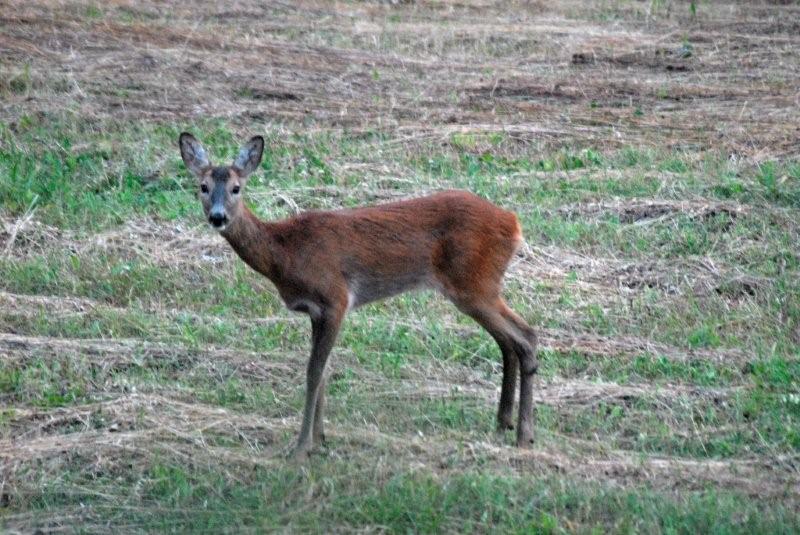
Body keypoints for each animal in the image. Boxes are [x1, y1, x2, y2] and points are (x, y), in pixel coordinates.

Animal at [176, 134, 536, 460]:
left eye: (236, 188)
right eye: (203, 187)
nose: (218, 217)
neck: (285, 251)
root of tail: (513, 221)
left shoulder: (335, 299)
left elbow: (313, 372)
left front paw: (301, 447)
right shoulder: (315, 311)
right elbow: (322, 372)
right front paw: (319, 439)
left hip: (474, 284)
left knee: (525, 335)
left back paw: (524, 434)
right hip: (478, 287)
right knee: (509, 340)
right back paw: (505, 423)